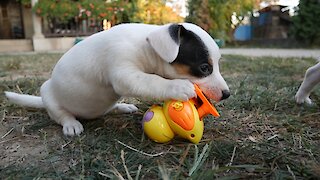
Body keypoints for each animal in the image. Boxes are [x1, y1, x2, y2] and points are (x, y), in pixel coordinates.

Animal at [5, 22, 230, 135]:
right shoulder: (126, 74)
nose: (227, 94)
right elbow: (152, 80)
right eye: (204, 68)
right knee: (61, 115)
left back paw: (122, 107)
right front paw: (179, 87)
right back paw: (71, 124)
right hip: (49, 96)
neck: (147, 45)